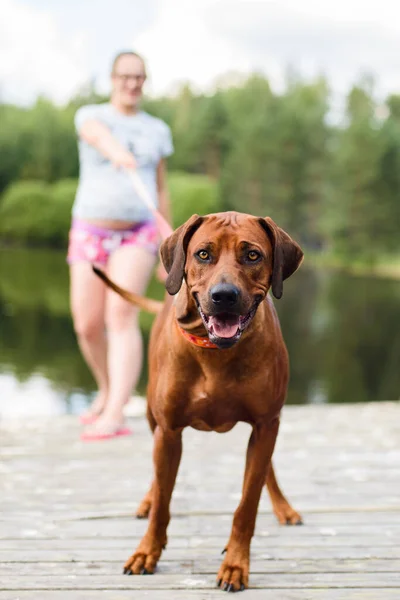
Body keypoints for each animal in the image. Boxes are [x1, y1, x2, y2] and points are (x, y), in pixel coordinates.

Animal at [95, 211, 304, 592]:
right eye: (203, 254)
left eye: (253, 255)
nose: (224, 296)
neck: (214, 352)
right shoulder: (169, 430)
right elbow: (163, 501)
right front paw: (147, 552)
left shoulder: (266, 423)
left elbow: (247, 504)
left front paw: (236, 564)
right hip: (152, 416)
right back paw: (147, 500)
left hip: (267, 428)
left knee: (265, 469)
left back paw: (283, 507)